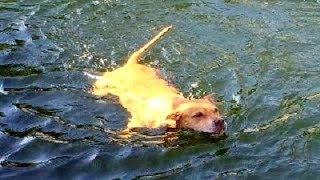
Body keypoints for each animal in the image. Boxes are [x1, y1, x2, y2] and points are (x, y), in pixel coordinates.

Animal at [91, 25, 226, 135]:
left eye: (216, 110)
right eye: (198, 115)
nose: (220, 121)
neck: (174, 105)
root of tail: (131, 64)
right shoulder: (138, 122)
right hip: (104, 85)